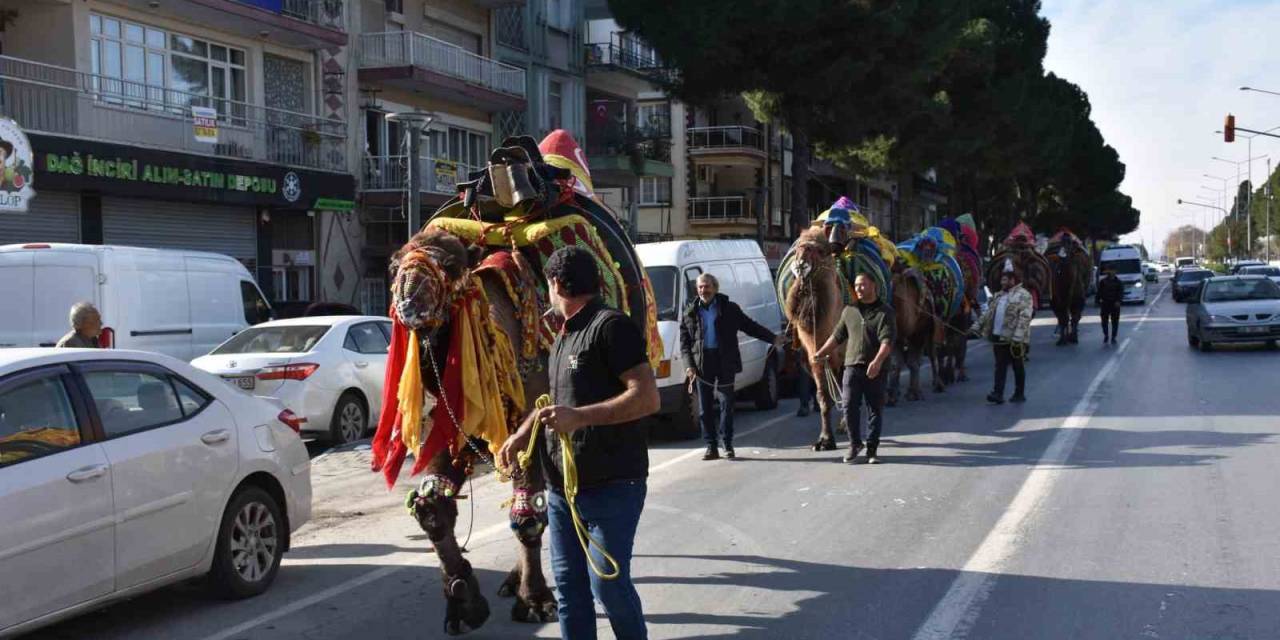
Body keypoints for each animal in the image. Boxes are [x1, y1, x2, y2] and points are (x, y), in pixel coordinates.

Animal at [373, 131, 660, 634]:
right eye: (394, 263)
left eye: (451, 263)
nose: (410, 297)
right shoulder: (452, 424)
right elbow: (434, 507)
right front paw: (464, 601)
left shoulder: (529, 417)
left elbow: (529, 512)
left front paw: (535, 600)